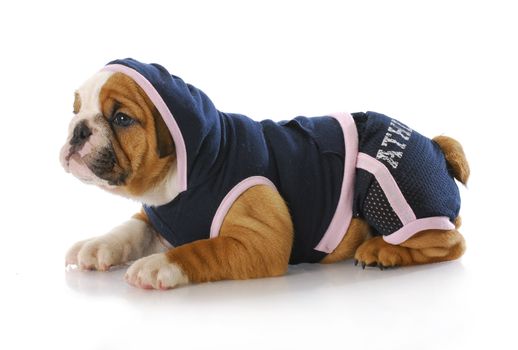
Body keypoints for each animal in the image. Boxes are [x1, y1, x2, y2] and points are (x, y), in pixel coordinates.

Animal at [61, 58, 472, 290]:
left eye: (121, 119)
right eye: (75, 109)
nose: (78, 130)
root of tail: (433, 144)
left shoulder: (259, 241)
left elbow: (200, 250)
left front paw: (157, 266)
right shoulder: (157, 219)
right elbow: (131, 229)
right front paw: (97, 245)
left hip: (388, 186)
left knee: (450, 242)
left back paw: (383, 249)